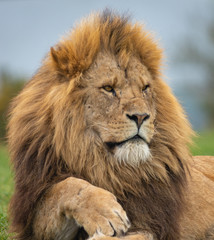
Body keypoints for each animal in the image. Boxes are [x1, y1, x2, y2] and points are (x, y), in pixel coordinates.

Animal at [7, 9, 214, 240]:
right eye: (108, 88)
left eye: (145, 88)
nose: (141, 116)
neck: (109, 168)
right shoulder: (35, 216)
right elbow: (67, 186)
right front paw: (105, 212)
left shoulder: (154, 225)